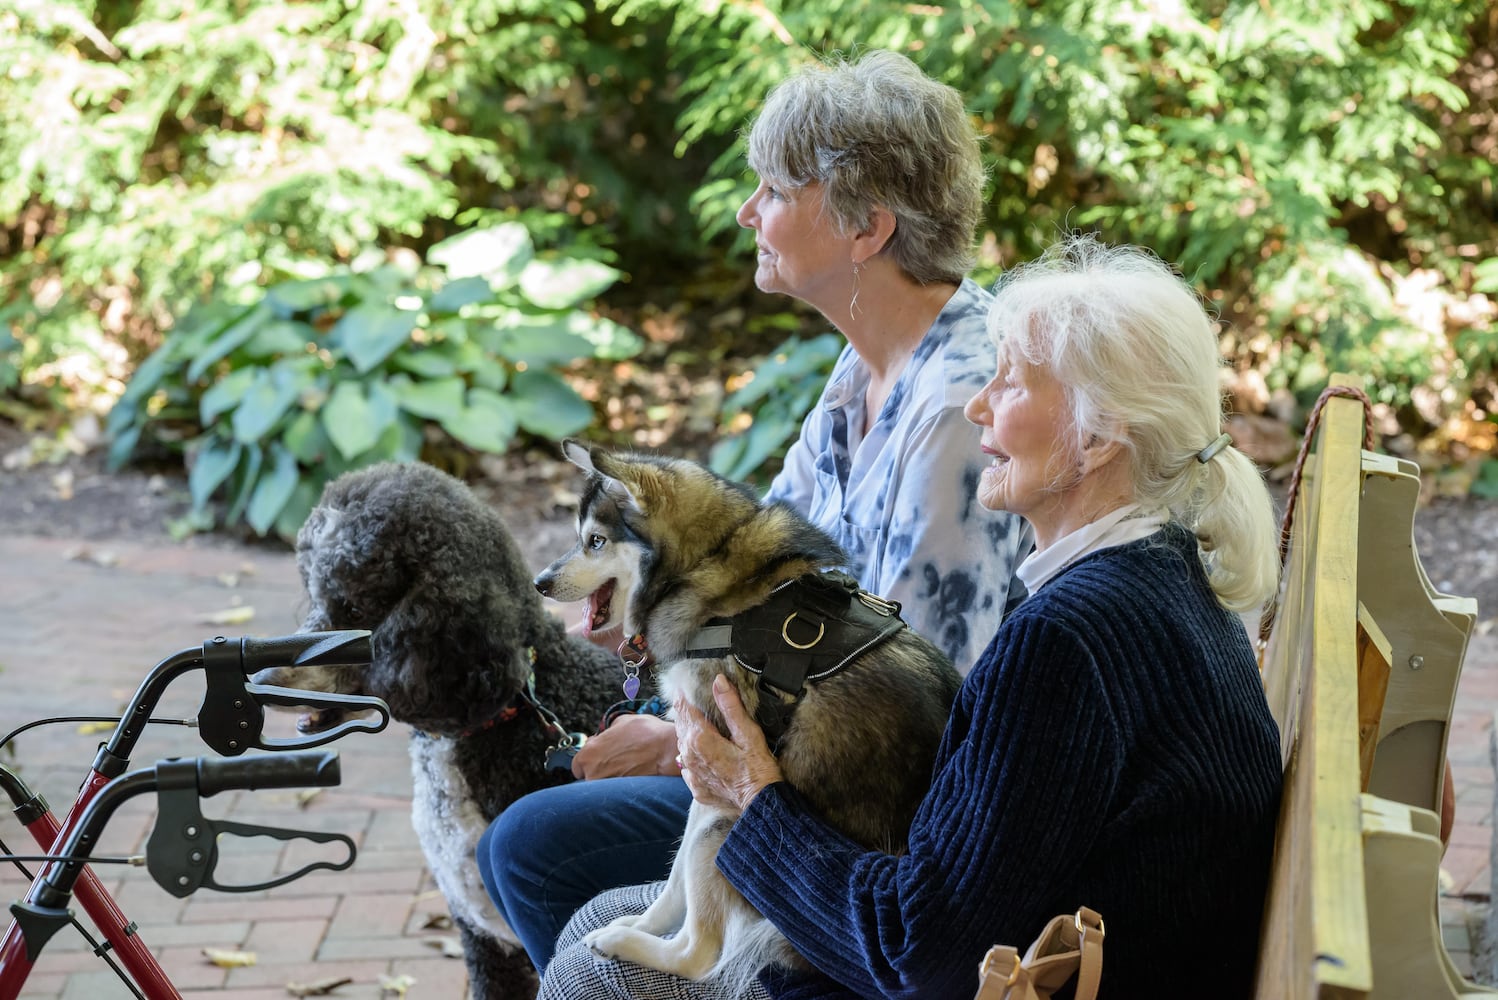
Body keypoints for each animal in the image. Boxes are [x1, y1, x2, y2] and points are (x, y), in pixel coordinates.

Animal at [539, 440, 958, 988]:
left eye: (595, 541)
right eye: (578, 538)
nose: (540, 582)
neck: (708, 567)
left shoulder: (709, 769)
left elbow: (676, 879)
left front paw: (638, 928)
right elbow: (673, 880)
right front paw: (642, 921)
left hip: (728, 827)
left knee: (698, 955)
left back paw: (627, 944)